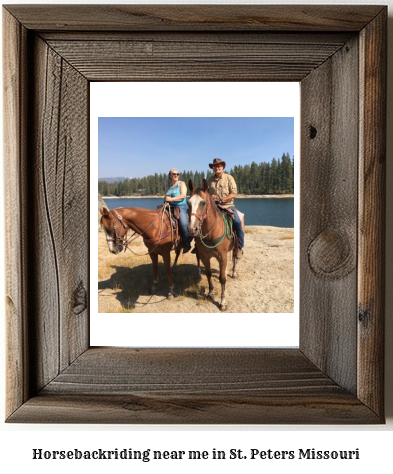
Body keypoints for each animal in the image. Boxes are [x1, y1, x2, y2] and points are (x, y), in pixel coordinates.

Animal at [188, 179, 245, 312]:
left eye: (203, 203)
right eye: (188, 203)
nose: (192, 229)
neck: (212, 232)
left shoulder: (222, 257)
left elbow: (222, 278)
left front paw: (223, 302)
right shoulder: (204, 256)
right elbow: (208, 273)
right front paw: (210, 293)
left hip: (236, 248)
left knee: (235, 258)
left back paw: (234, 272)